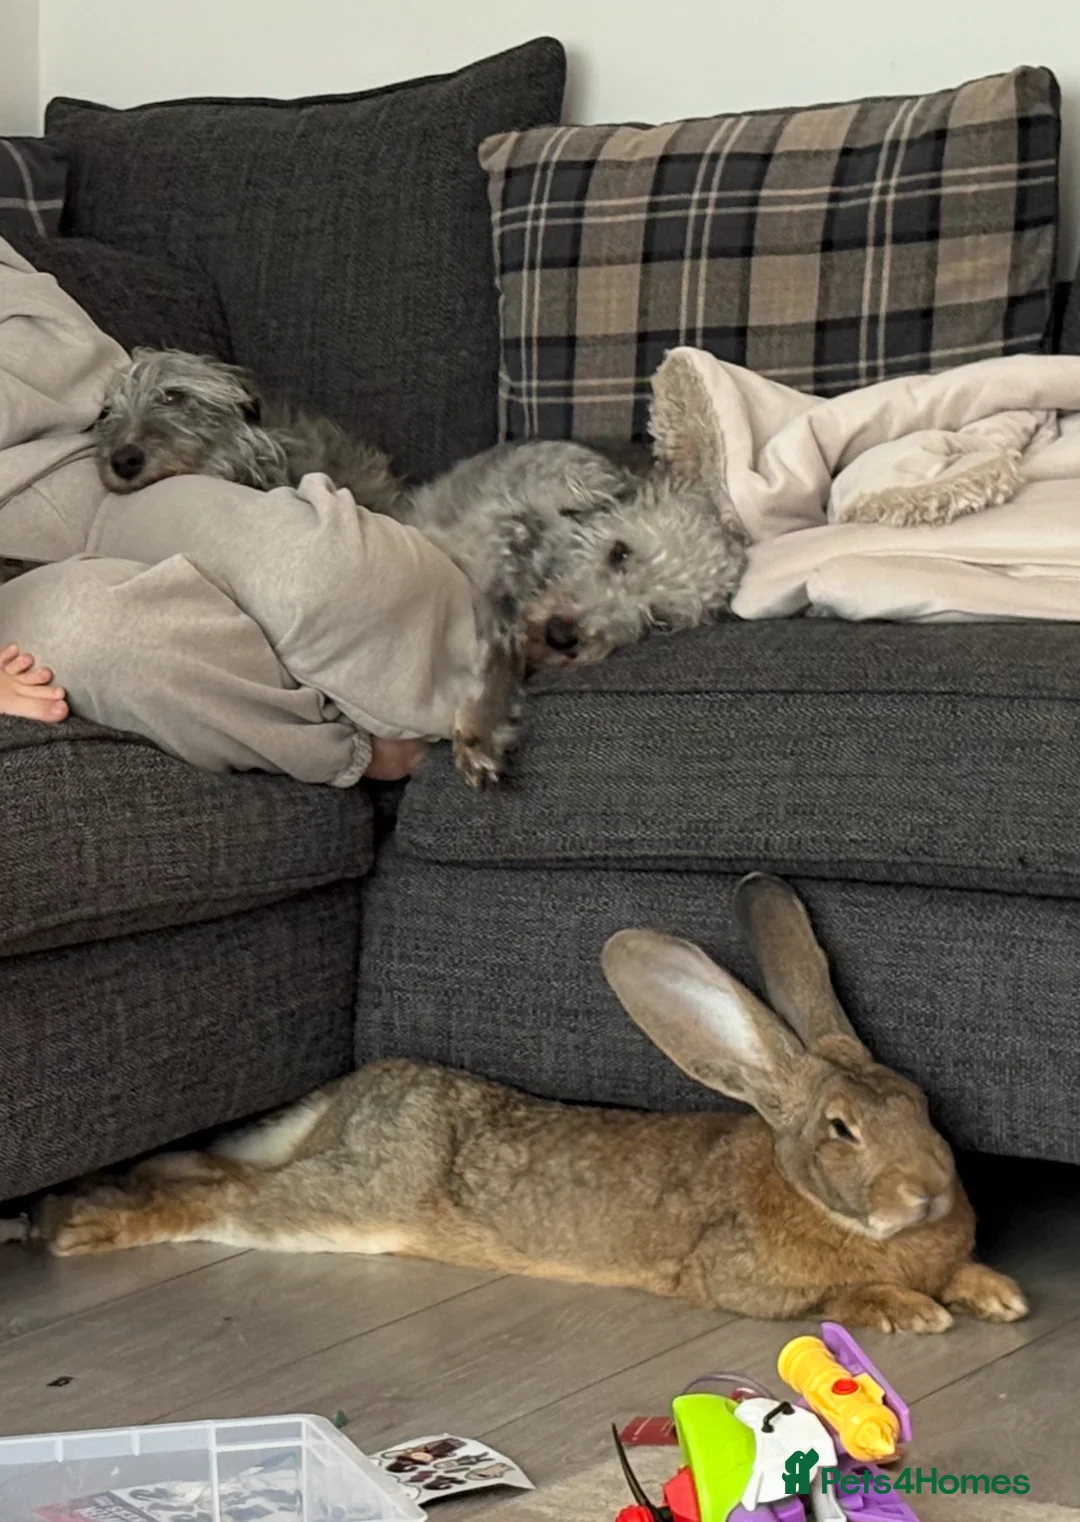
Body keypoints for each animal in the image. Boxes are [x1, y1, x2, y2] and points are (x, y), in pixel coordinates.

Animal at [37, 874, 1027, 1334]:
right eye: (841, 1130)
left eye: (924, 1103)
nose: (930, 1194)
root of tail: (366, 1091)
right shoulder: (742, 1278)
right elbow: (836, 1295)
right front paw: (907, 1309)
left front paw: (996, 1293)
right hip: (348, 1204)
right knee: (221, 1201)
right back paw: (83, 1225)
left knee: (206, 1165)